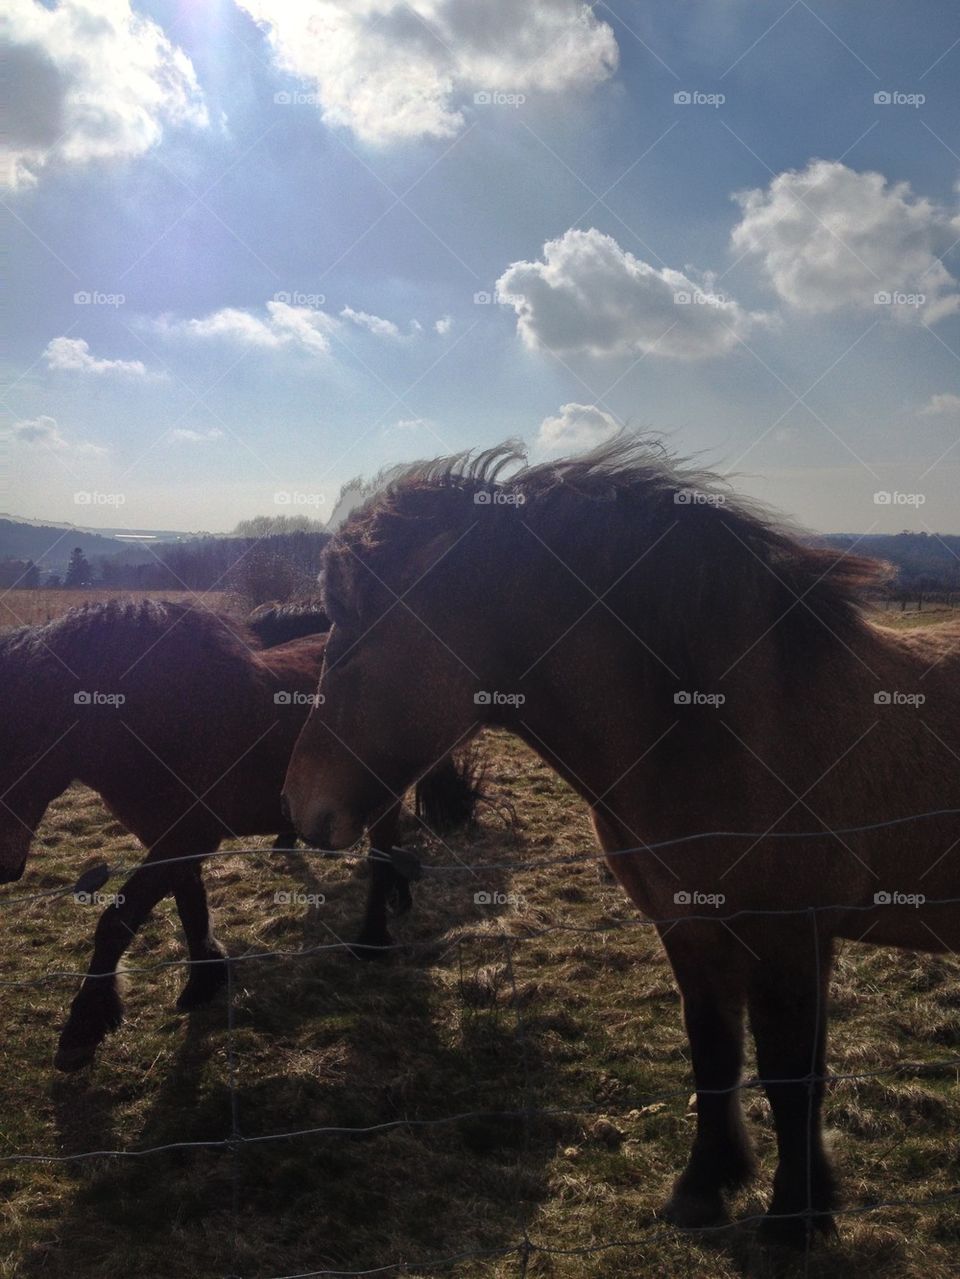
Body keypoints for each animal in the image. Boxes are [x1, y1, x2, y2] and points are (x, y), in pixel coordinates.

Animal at [0, 598, 467, 1069]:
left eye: (24, 737)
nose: (6, 868)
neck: (159, 722)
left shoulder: (186, 838)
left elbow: (116, 921)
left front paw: (83, 1028)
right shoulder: (172, 842)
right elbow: (190, 904)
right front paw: (205, 979)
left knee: (380, 852)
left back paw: (371, 940)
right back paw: (398, 899)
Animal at [285, 442, 960, 1248]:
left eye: (355, 633)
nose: (300, 805)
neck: (722, 723)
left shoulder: (792, 938)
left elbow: (791, 1075)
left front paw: (794, 1218)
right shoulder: (691, 928)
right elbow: (715, 1053)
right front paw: (706, 1186)